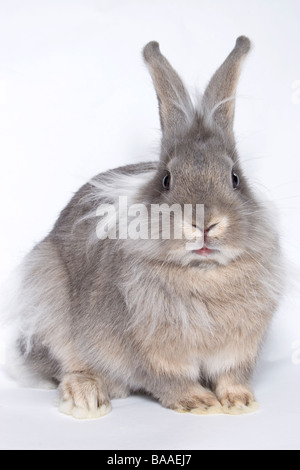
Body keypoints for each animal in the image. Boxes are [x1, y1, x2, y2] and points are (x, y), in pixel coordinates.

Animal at [7, 36, 284, 418]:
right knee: (66, 365)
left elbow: (232, 375)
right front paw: (198, 403)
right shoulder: (153, 351)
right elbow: (170, 379)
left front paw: (239, 401)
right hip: (49, 298)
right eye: (166, 179)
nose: (203, 223)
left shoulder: (239, 349)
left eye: (235, 178)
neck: (202, 272)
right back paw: (87, 397)